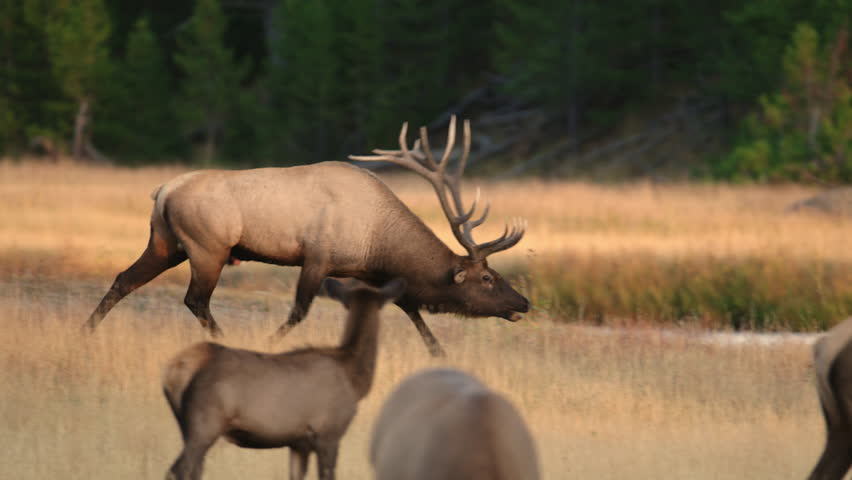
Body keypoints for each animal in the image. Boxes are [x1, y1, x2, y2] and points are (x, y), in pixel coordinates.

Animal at [82, 116, 529, 357]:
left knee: (125, 279)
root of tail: (163, 191)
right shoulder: (318, 257)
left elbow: (410, 308)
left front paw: (439, 351)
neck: (379, 242)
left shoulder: (368, 272)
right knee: (196, 300)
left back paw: (86, 330)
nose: (523, 302)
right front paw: (269, 342)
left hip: (164, 242)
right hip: (208, 247)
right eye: (487, 278)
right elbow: (299, 310)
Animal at [161, 277, 405, 480]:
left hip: (188, 427)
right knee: (177, 470)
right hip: (205, 424)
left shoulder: (298, 443)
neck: (355, 377)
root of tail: (174, 373)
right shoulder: (329, 433)